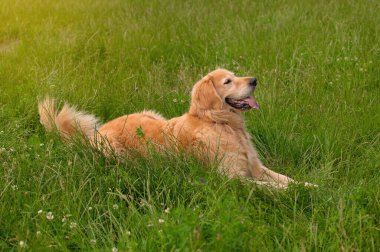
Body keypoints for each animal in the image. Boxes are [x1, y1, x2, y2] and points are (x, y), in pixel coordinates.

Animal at [38, 68, 308, 188]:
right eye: (228, 81)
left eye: (236, 75)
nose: (254, 80)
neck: (221, 123)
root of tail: (96, 133)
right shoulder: (231, 178)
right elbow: (273, 187)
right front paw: (291, 193)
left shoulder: (256, 167)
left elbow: (288, 179)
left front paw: (311, 187)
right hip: (116, 153)